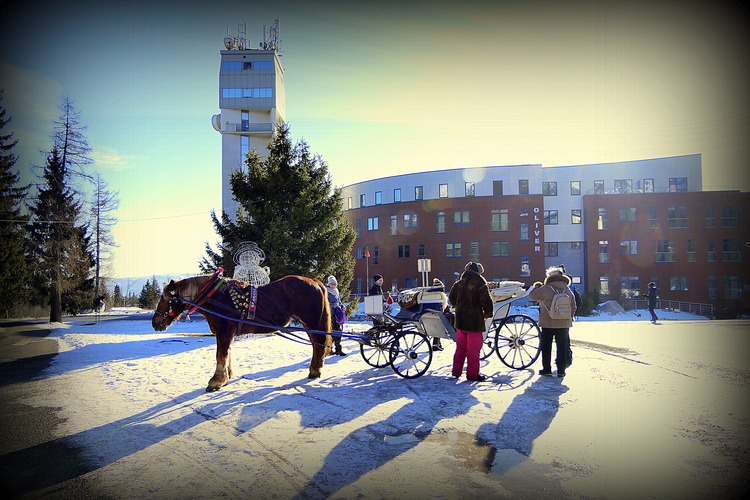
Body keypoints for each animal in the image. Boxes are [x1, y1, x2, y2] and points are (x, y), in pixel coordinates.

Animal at [151, 274, 334, 390]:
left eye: (165, 299)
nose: (155, 323)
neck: (215, 297)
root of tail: (315, 281)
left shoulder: (224, 333)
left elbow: (220, 356)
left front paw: (216, 381)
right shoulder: (226, 334)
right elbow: (227, 355)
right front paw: (226, 377)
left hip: (312, 322)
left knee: (319, 344)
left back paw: (315, 370)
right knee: (316, 345)